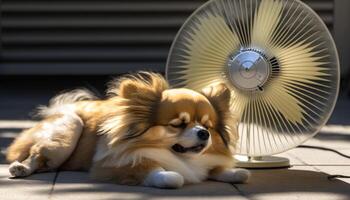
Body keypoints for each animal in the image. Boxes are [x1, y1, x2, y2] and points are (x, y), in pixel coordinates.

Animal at [6, 72, 250, 189]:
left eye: (208, 126)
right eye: (178, 124)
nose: (203, 133)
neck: (183, 159)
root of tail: (60, 109)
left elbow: (227, 171)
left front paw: (233, 172)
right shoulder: (113, 165)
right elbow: (164, 175)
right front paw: (168, 175)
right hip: (69, 130)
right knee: (37, 154)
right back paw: (21, 168)